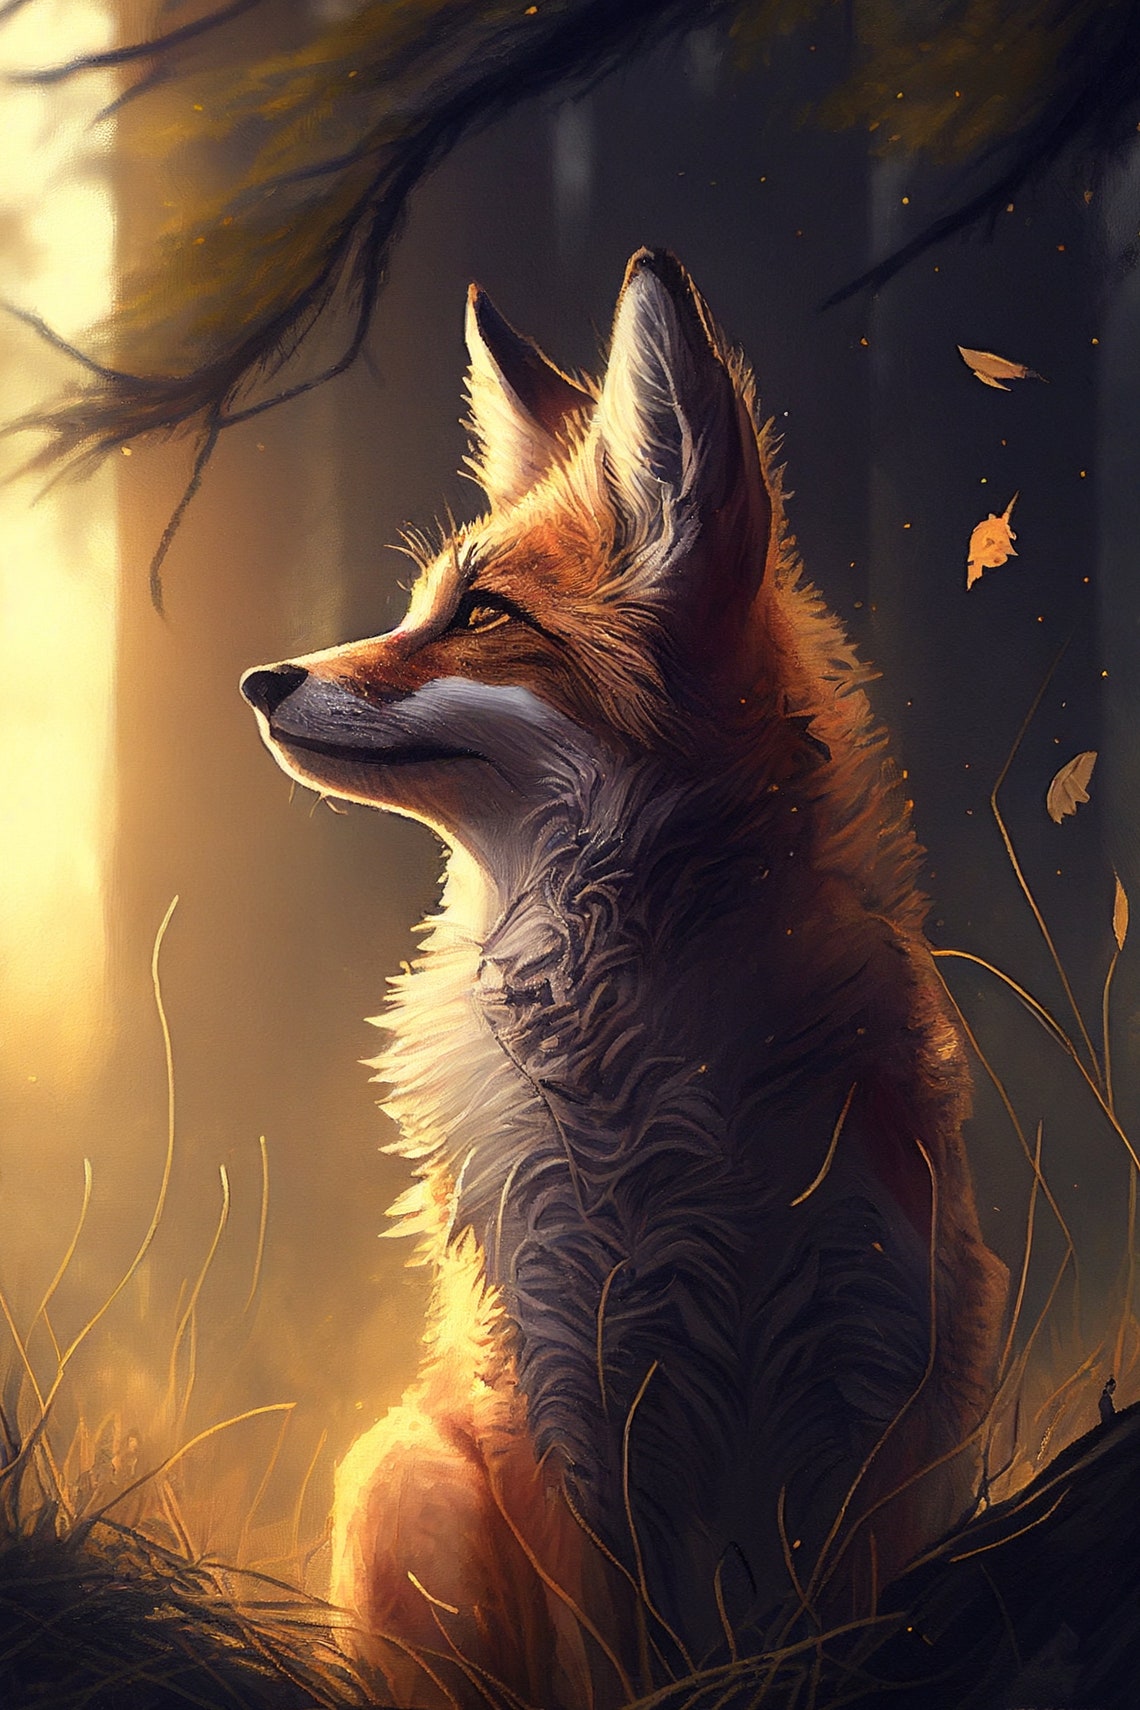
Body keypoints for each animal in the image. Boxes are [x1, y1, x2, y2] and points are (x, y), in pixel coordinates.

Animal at [241, 249, 1008, 1708]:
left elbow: (842, 1641)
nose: (259, 675)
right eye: (418, 607)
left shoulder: (871, 1389)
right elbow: (607, 1666)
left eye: (480, 615)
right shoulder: (558, 1391)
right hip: (409, 1480)